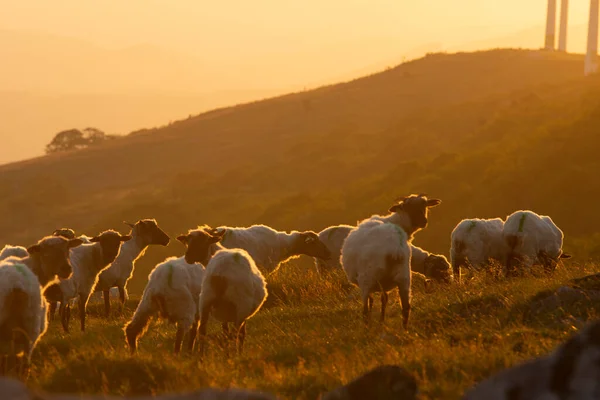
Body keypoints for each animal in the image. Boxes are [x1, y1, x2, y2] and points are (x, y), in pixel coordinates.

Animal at [0, 234, 82, 376]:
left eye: (67, 248)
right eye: (46, 252)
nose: (66, 269)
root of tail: (15, 284)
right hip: (31, 326)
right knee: (24, 364)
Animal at [175, 228, 266, 356]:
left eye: (203, 242)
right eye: (187, 242)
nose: (188, 258)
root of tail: (220, 273)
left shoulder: (224, 314)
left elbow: (225, 331)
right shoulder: (241, 314)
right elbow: (241, 334)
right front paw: (239, 353)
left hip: (205, 300)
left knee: (202, 331)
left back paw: (202, 356)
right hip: (241, 305)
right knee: (235, 334)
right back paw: (233, 355)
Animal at [342, 194, 440, 328]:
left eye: (424, 206)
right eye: (408, 207)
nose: (423, 221)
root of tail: (395, 248)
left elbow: (374, 300)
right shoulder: (385, 283)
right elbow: (384, 299)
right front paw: (382, 320)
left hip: (367, 277)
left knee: (365, 309)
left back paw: (366, 326)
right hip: (404, 276)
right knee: (406, 307)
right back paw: (404, 330)